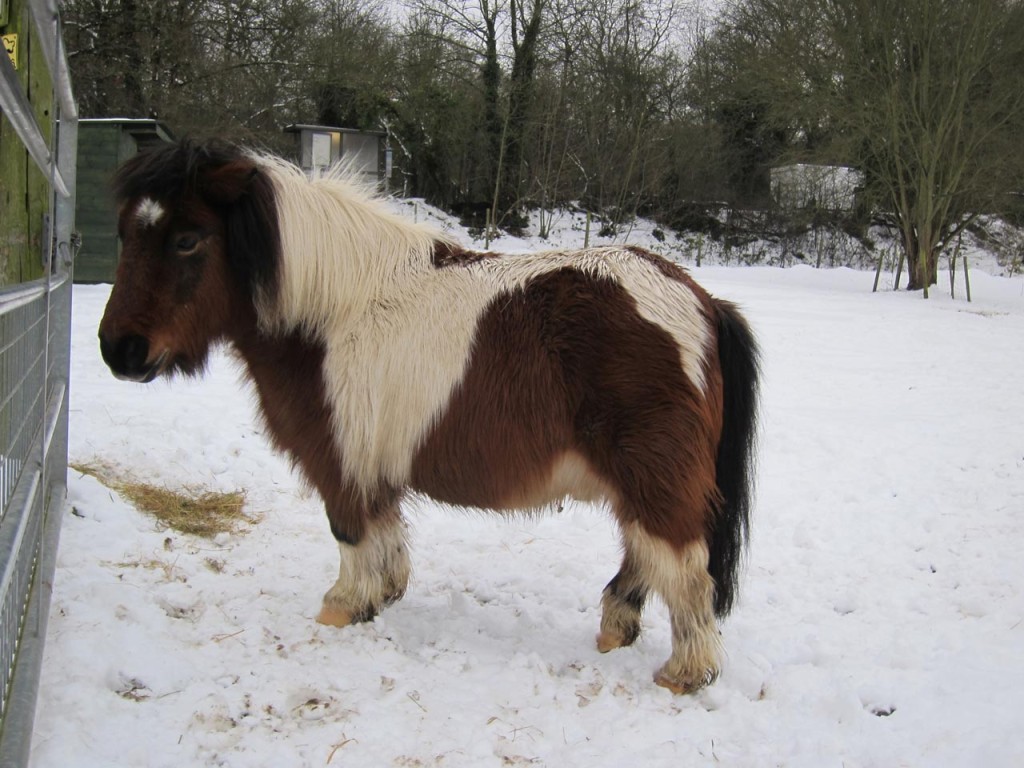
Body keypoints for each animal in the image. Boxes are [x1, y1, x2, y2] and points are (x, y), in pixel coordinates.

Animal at [99, 140, 757, 696]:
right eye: (126, 232)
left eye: (188, 240)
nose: (118, 351)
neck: (329, 312)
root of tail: (700, 301)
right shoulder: (373, 464)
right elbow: (386, 533)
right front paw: (383, 596)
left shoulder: (341, 459)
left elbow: (350, 532)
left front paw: (341, 606)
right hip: (641, 481)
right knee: (647, 556)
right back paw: (616, 630)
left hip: (655, 476)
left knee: (685, 571)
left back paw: (684, 673)